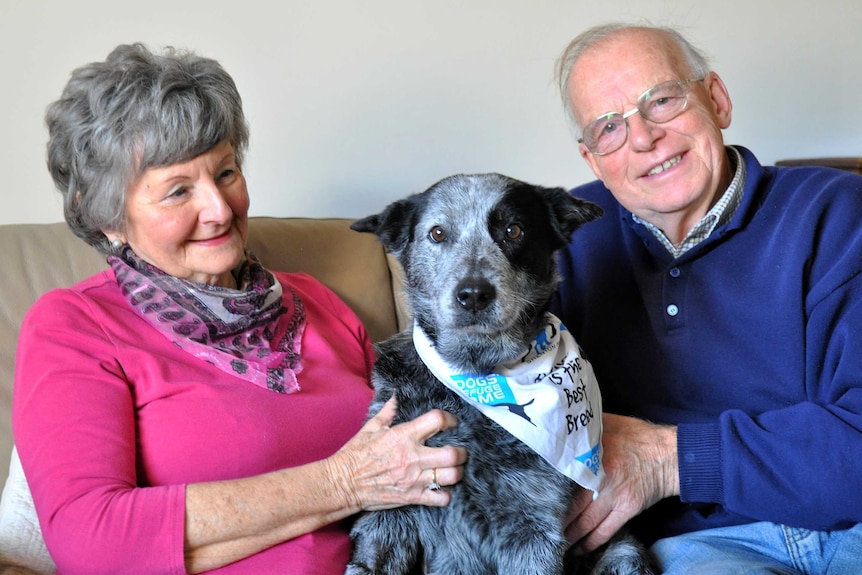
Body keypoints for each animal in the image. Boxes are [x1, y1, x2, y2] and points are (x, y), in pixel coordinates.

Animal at [344, 174, 656, 575]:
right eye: (438, 233)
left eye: (513, 230)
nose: (473, 294)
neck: (476, 378)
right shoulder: (392, 497)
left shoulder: (532, 525)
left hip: (624, 554)